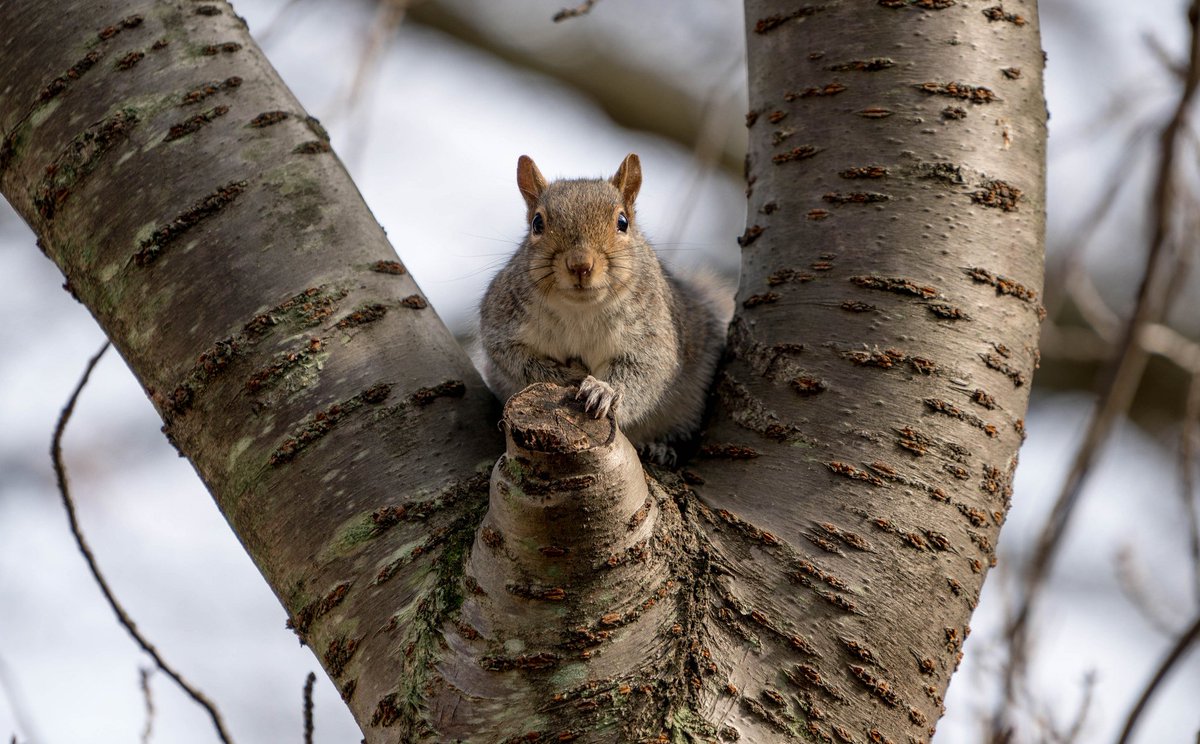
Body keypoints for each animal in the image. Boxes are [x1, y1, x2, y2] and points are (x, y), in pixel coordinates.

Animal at [478, 153, 729, 464]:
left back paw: (660, 448)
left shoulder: (652, 336)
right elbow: (516, 360)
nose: (580, 264)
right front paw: (570, 376)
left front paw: (603, 391)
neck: (580, 311)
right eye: (537, 223)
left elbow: (645, 372)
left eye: (622, 222)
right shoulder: (502, 320)